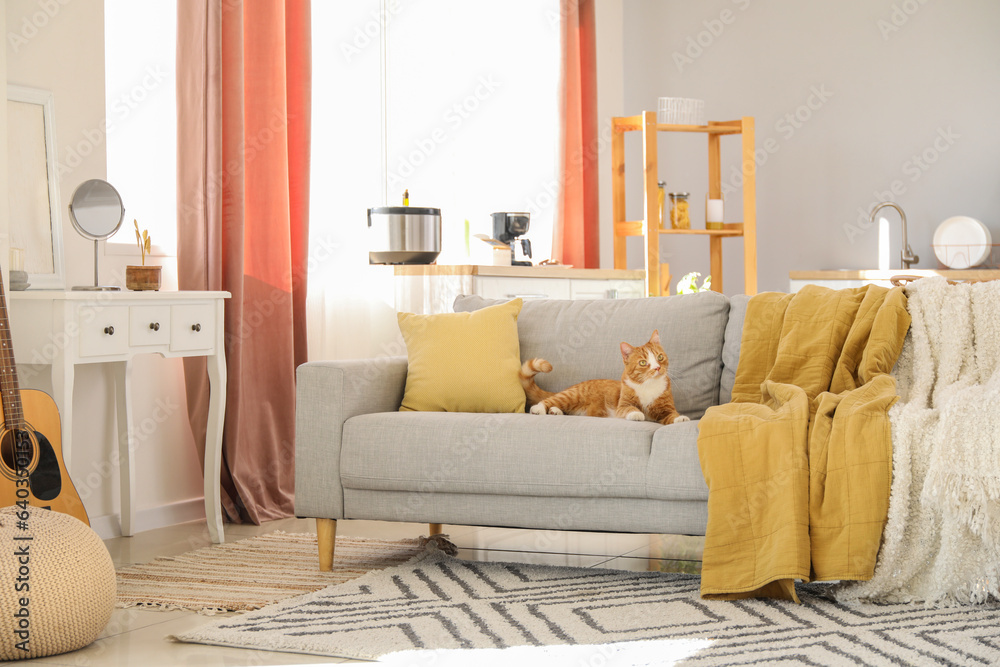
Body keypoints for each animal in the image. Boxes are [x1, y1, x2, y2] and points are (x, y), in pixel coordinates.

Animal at [516, 330, 688, 428]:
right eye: (643, 363)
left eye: (660, 357)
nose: (657, 368)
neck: (648, 386)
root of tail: (572, 386)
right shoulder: (622, 405)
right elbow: (630, 409)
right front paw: (637, 414)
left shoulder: (667, 409)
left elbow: (672, 415)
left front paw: (681, 419)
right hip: (572, 396)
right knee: (548, 400)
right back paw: (540, 409)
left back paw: (555, 412)